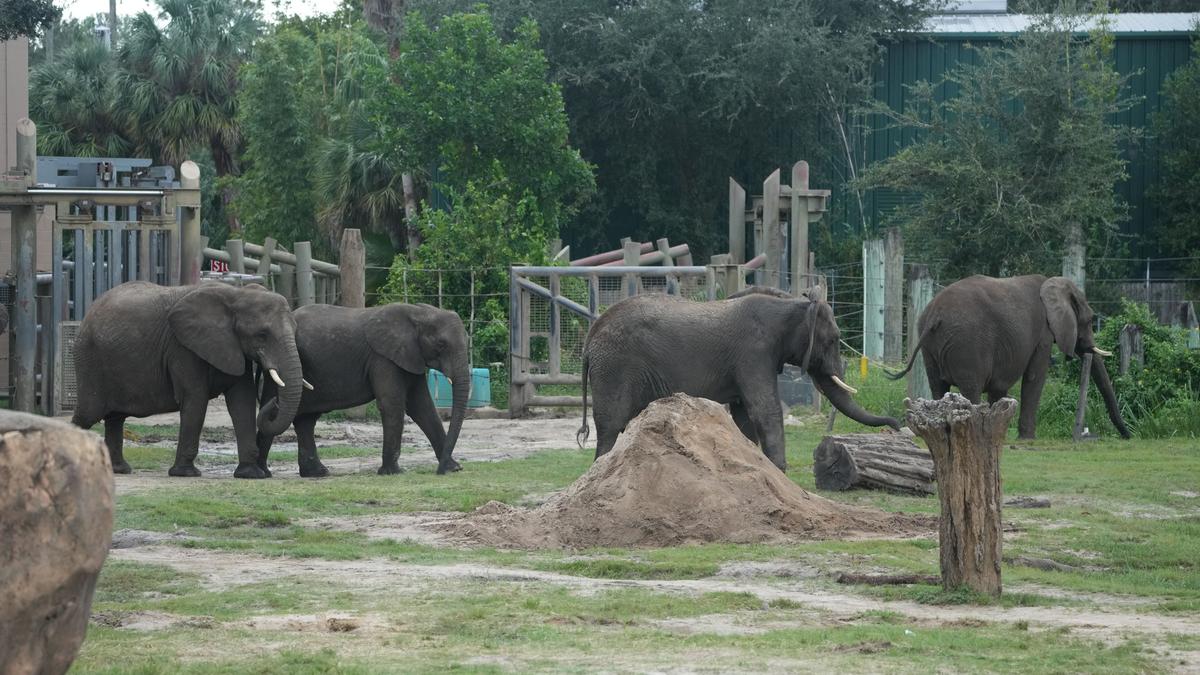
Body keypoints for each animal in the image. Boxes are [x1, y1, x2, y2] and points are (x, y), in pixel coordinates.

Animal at [70, 281, 304, 475]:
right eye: (262, 335)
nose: (274, 403)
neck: (236, 293)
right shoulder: (182, 347)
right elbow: (196, 397)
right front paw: (185, 473)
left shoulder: (234, 347)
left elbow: (242, 401)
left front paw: (250, 474)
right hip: (89, 358)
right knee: (88, 414)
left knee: (115, 418)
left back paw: (119, 470)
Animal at [255, 302, 470, 475]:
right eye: (441, 344)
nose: (438, 471)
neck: (419, 312)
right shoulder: (383, 358)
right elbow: (392, 404)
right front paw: (392, 473)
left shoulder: (410, 357)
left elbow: (422, 407)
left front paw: (453, 468)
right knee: (283, 411)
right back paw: (262, 472)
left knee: (306, 420)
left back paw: (317, 473)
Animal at [573, 285, 902, 470]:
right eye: (833, 340)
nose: (897, 426)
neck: (792, 303)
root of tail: (589, 340)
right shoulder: (754, 352)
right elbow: (765, 410)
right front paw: (779, 470)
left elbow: (745, 416)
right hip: (614, 367)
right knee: (611, 425)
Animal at [888, 275, 1128, 439]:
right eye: (1089, 320)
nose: (1127, 435)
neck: (1052, 283)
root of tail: (935, 315)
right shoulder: (1043, 333)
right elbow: (1034, 377)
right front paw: (1028, 439)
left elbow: (1000, 385)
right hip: (967, 344)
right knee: (970, 388)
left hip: (929, 343)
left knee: (938, 386)